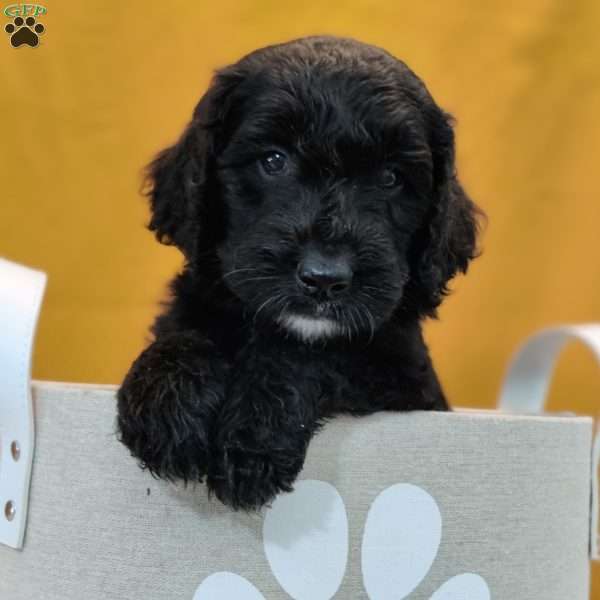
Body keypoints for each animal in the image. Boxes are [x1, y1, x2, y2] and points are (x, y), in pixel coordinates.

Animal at [117, 35, 482, 508]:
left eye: (391, 178)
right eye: (274, 160)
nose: (324, 278)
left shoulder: (398, 379)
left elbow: (313, 354)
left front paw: (254, 437)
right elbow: (184, 335)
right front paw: (167, 403)